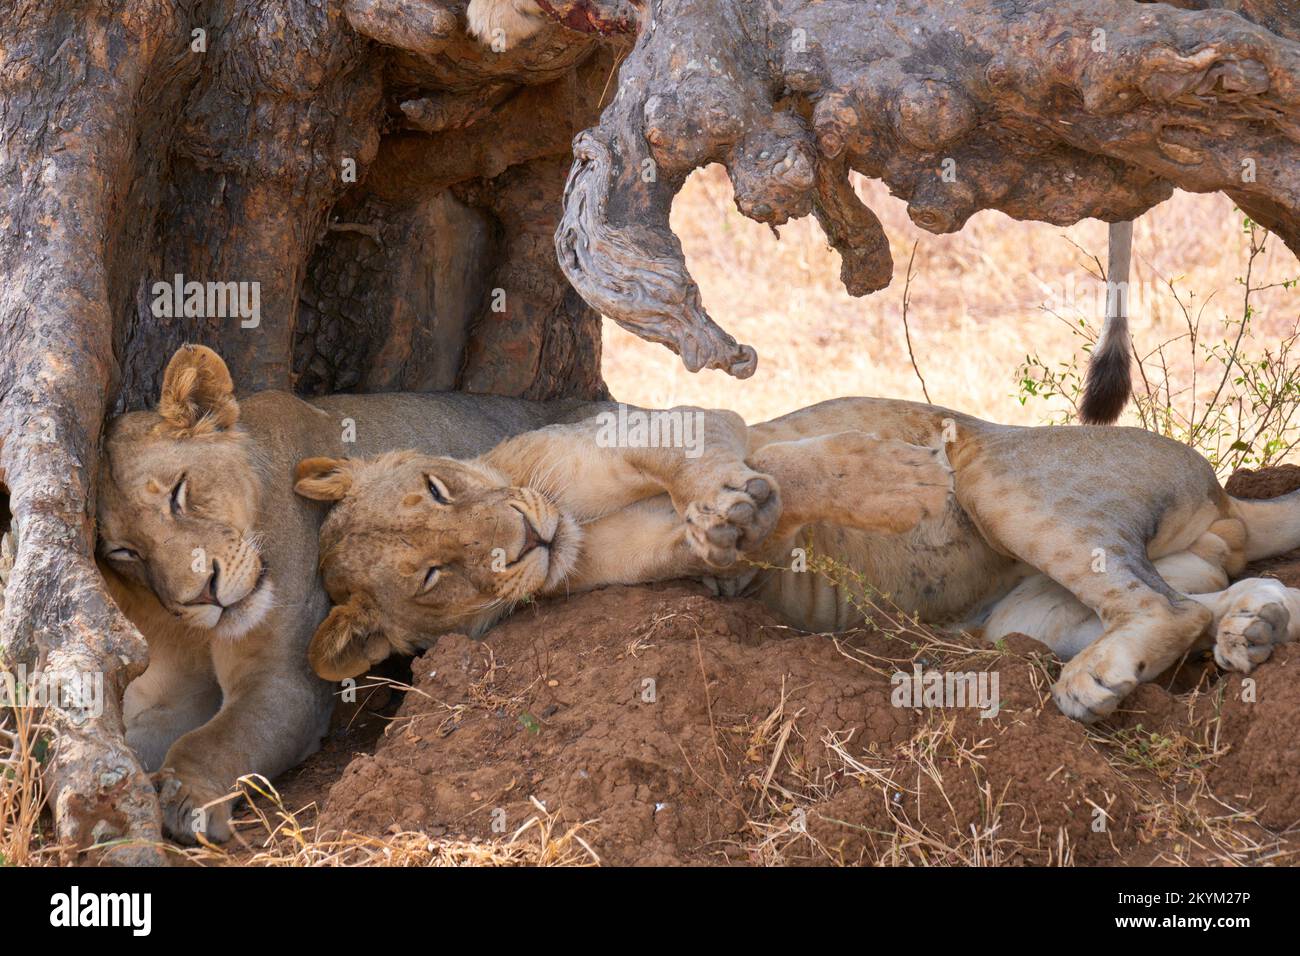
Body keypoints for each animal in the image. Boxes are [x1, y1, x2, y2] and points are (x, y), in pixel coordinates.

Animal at [98, 345, 595, 842]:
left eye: (178, 493)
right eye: (124, 551)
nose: (202, 595)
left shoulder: (285, 682)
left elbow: (215, 740)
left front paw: (185, 797)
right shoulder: (175, 690)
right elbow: (138, 738)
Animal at [295, 398, 1300, 723]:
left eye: (436, 489)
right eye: (434, 577)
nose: (525, 540)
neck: (568, 516)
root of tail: (1220, 497)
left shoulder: (681, 423)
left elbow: (774, 464)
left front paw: (898, 478)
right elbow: (747, 514)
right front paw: (731, 531)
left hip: (1005, 478)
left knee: (1166, 600)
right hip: (1026, 617)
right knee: (1186, 599)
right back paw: (1245, 631)